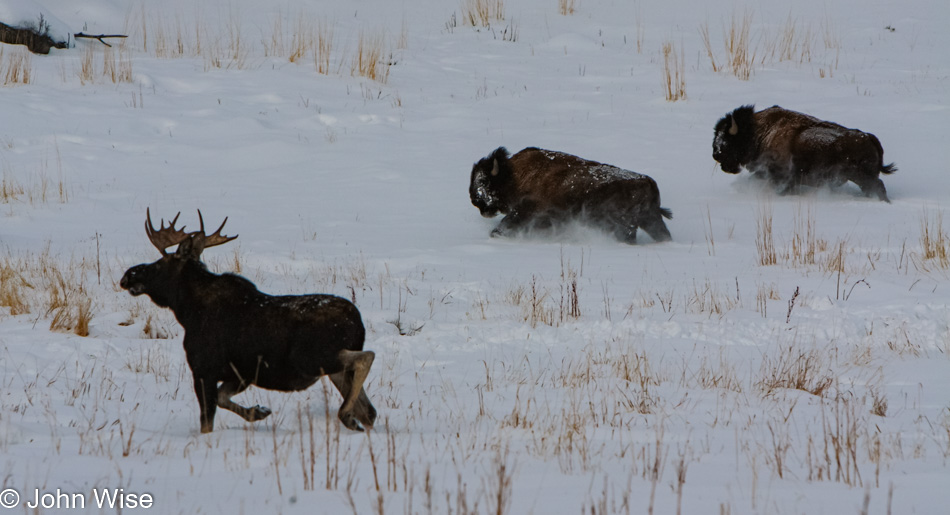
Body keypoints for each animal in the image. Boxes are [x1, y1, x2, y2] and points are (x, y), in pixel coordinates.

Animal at [122, 212, 380, 434]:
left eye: (158, 263)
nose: (127, 276)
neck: (187, 311)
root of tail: (357, 322)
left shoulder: (203, 369)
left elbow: (207, 422)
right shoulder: (241, 374)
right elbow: (224, 398)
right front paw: (259, 411)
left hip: (310, 358)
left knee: (366, 358)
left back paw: (345, 415)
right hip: (330, 368)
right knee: (369, 410)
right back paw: (355, 421)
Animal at [472, 146, 672, 245]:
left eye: (484, 181)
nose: (476, 201)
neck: (512, 175)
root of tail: (647, 182)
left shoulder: (526, 211)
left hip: (625, 226)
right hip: (650, 221)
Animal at [712, 105, 900, 202]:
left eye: (727, 140)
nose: (716, 154)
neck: (757, 133)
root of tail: (868, 137)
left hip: (862, 177)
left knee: (878, 187)